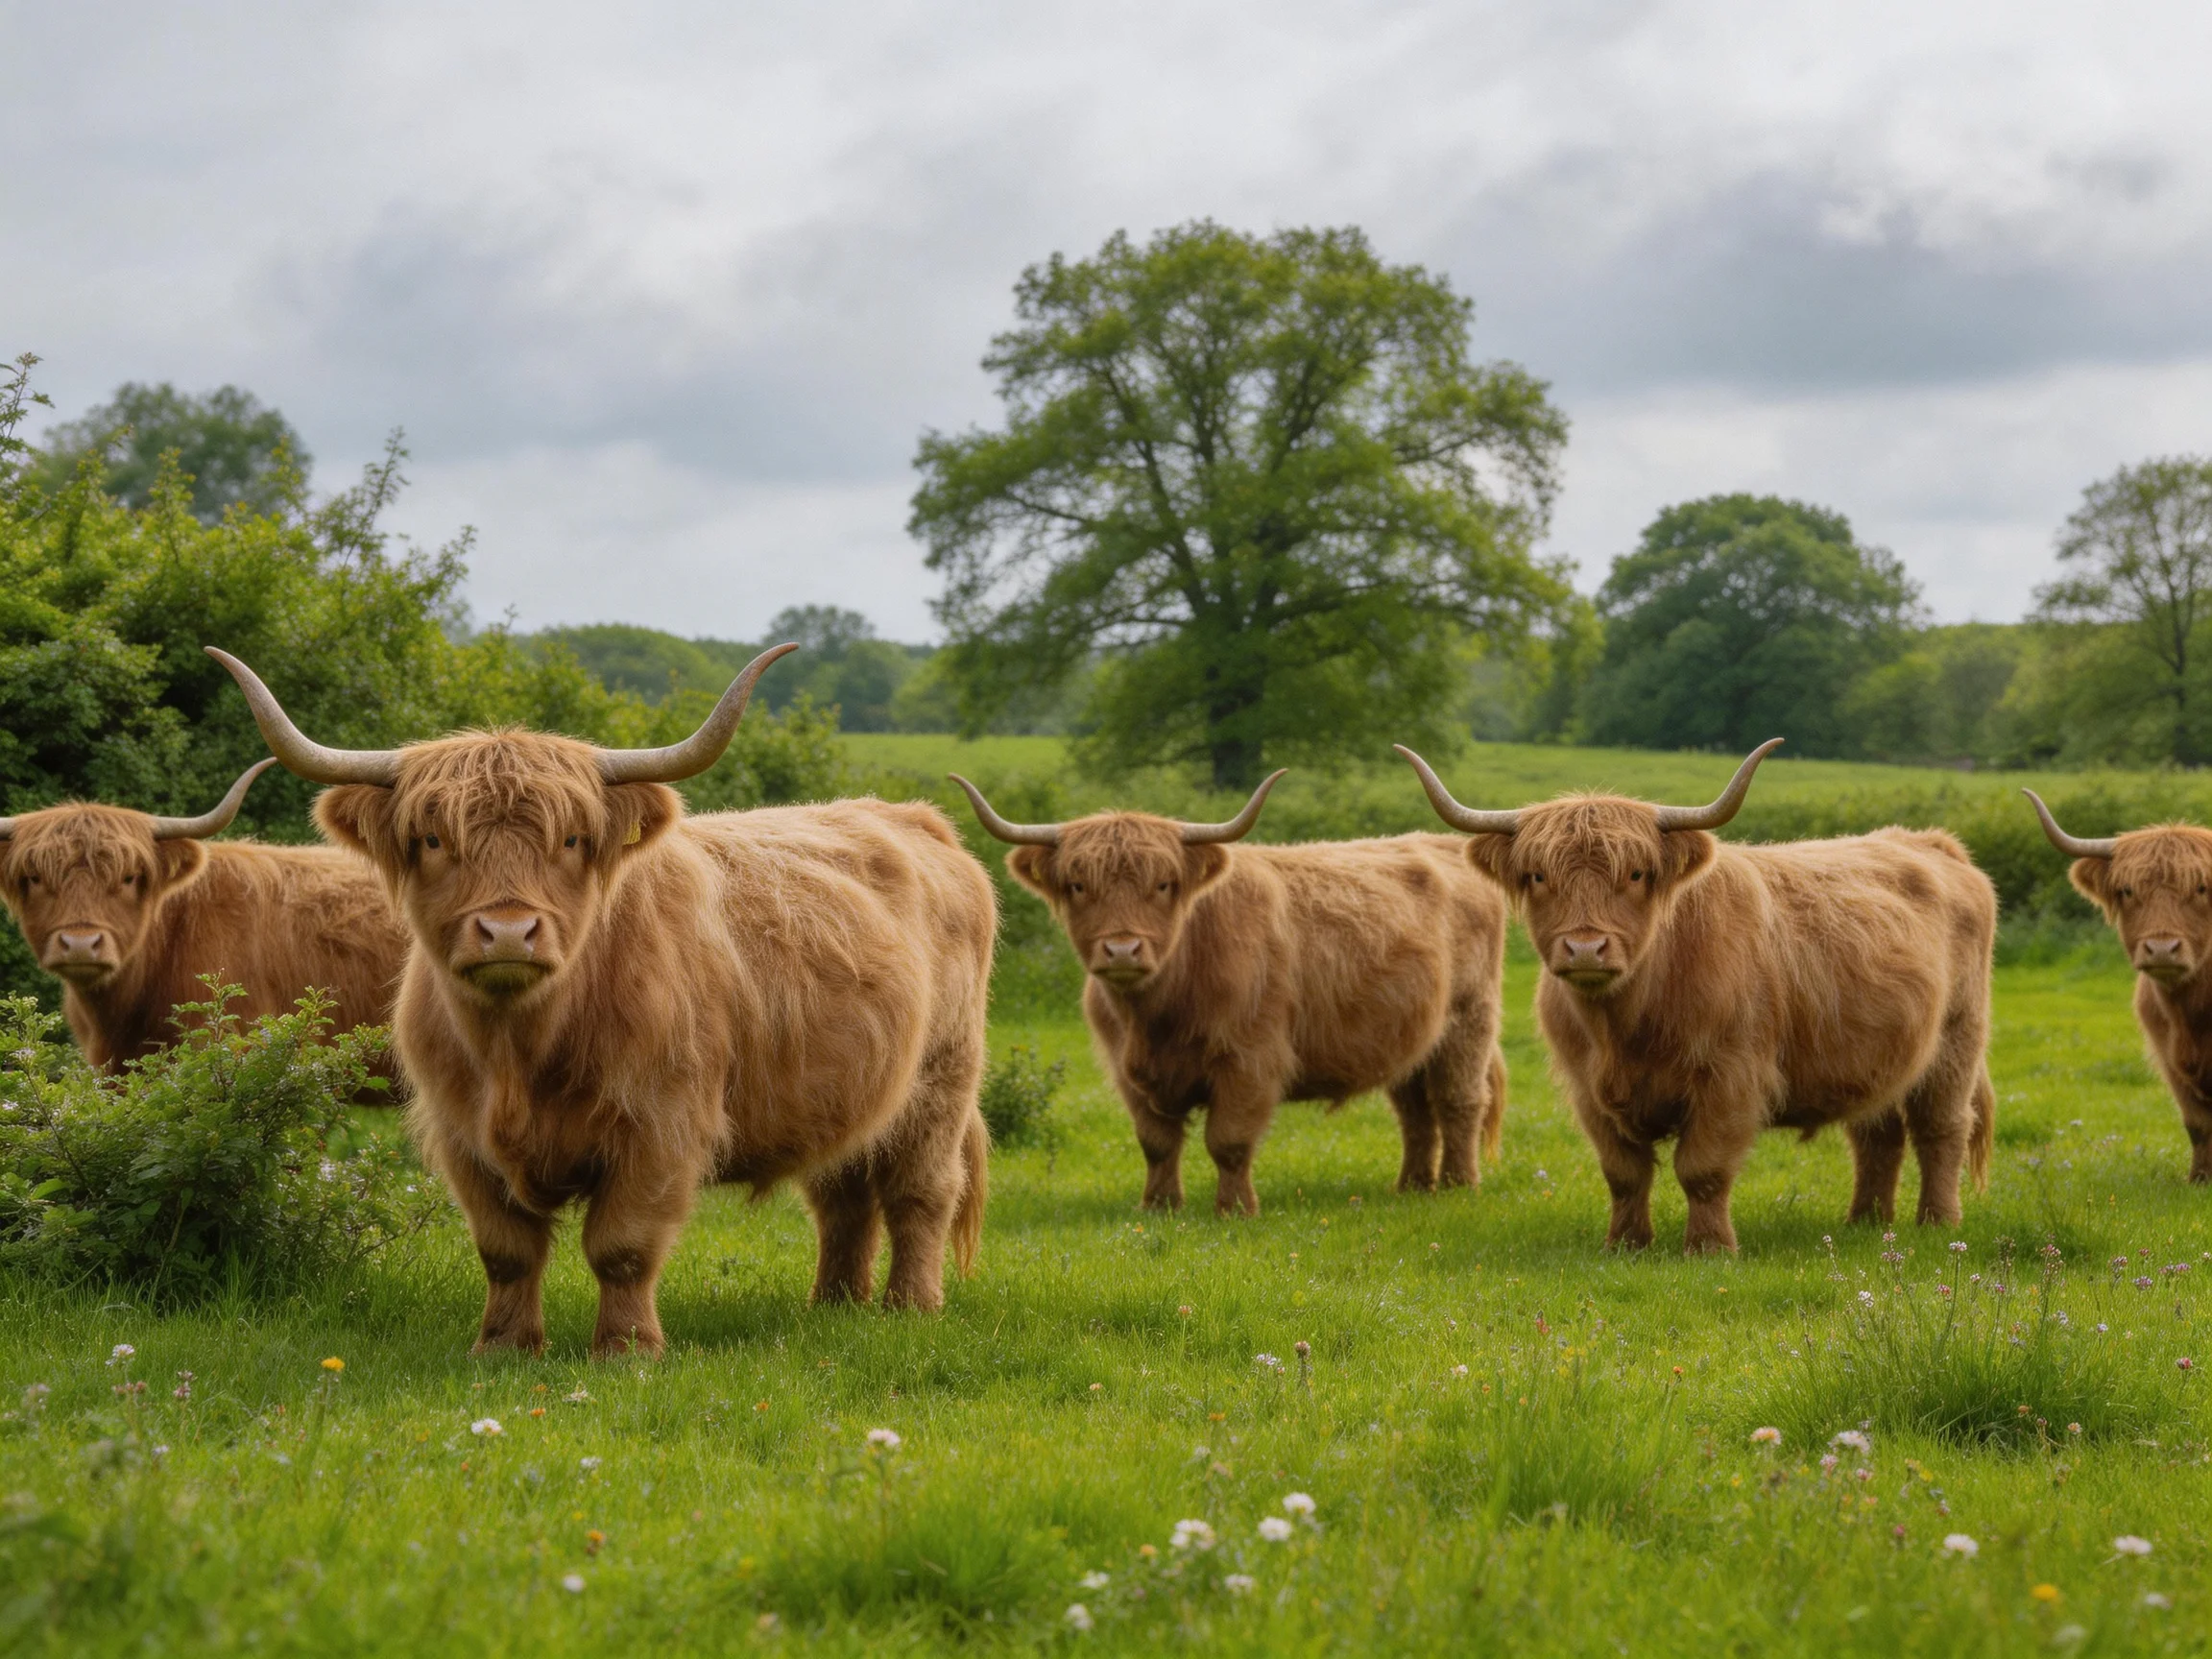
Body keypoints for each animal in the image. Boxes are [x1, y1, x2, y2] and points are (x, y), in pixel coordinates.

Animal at [209, 643, 995, 1359]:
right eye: (432, 840)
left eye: (572, 839)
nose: (508, 931)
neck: (521, 1053)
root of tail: (916, 819)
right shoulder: (462, 1135)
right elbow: (507, 1251)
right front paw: (504, 1347)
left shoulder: (662, 1126)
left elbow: (622, 1245)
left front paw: (627, 1350)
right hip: (850, 1094)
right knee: (843, 1196)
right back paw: (833, 1305)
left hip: (941, 1082)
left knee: (921, 1192)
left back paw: (909, 1308)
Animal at [953, 773, 1510, 1217]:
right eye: (1076, 885)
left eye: (1164, 884)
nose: (1122, 949)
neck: (1157, 1014)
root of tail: (1439, 842)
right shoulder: (1127, 1070)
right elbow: (1156, 1143)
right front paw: (1159, 1206)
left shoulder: (1251, 1059)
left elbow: (1229, 1141)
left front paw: (1235, 1209)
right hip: (1413, 1038)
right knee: (1415, 1112)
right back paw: (1412, 1187)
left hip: (1469, 1019)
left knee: (1459, 1101)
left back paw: (1459, 1185)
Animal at [1399, 741, 1996, 1252]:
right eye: (1538, 875)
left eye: (1637, 873)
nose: (1586, 947)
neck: (1626, 1026)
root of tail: (1931, 842)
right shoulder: (1587, 1088)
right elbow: (1623, 1173)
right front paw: (1626, 1244)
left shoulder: (1731, 1076)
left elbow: (1702, 1169)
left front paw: (1709, 1248)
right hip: (1879, 1058)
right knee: (1878, 1136)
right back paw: (1866, 1222)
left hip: (1956, 1039)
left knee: (1942, 1127)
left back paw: (1938, 1223)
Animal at [2026, 792, 2212, 1182]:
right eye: (2127, 891)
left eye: (2202, 888)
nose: (2162, 948)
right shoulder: (2170, 1060)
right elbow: (2198, 1124)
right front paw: (2200, 1180)